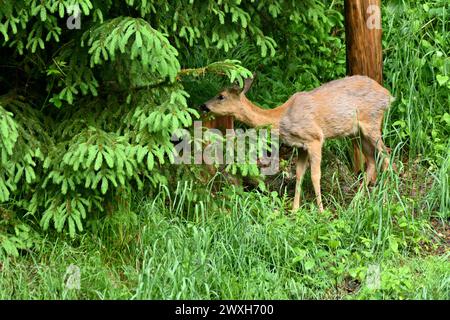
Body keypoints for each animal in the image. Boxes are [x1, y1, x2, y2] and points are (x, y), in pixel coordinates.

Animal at [200, 74, 394, 211]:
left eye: (221, 96)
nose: (203, 106)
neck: (281, 118)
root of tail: (388, 95)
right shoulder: (301, 146)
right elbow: (300, 174)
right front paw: (294, 210)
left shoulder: (315, 138)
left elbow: (315, 175)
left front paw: (321, 211)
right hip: (357, 133)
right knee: (372, 162)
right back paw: (355, 203)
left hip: (372, 121)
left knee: (387, 157)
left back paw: (386, 201)